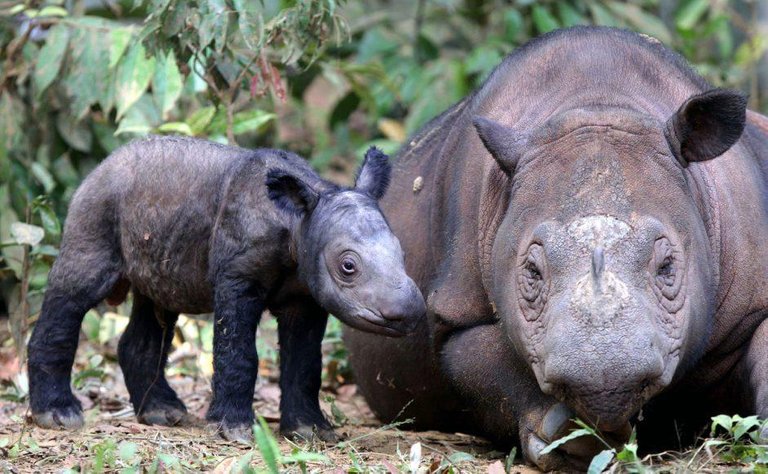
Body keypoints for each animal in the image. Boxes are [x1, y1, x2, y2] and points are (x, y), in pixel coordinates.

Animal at [28, 135, 426, 442]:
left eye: (403, 253)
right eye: (348, 266)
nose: (409, 312)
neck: (299, 222)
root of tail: (101, 165)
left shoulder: (306, 294)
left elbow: (305, 362)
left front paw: (310, 432)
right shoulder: (238, 277)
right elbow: (238, 352)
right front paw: (233, 430)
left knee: (157, 304)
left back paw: (162, 413)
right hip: (96, 206)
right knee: (76, 291)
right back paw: (58, 416)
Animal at [344, 26, 768, 470]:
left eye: (667, 266)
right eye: (532, 273)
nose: (605, 382)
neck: (598, 100)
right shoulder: (455, 312)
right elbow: (482, 361)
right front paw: (571, 439)